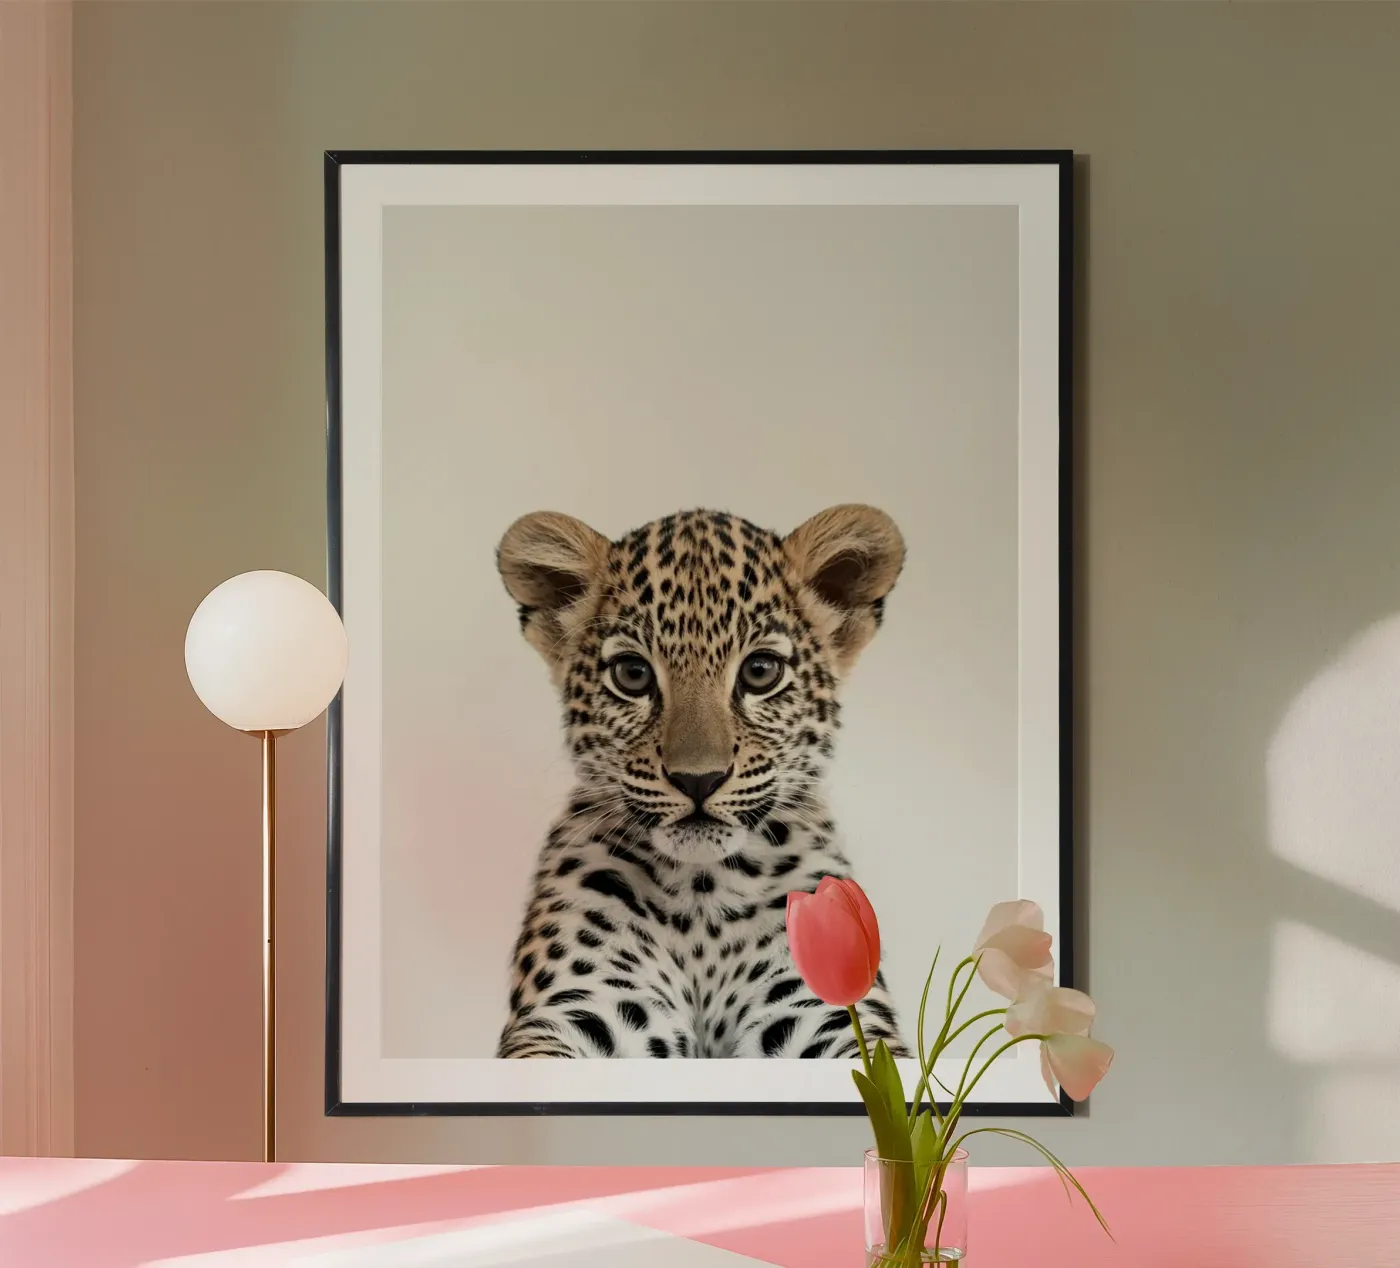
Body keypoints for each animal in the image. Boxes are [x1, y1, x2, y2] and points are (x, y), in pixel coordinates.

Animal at [494, 504, 910, 1060]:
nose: (698, 780)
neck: (702, 897)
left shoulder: (822, 1010)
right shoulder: (580, 1005)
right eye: (631, 674)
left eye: (760, 671)